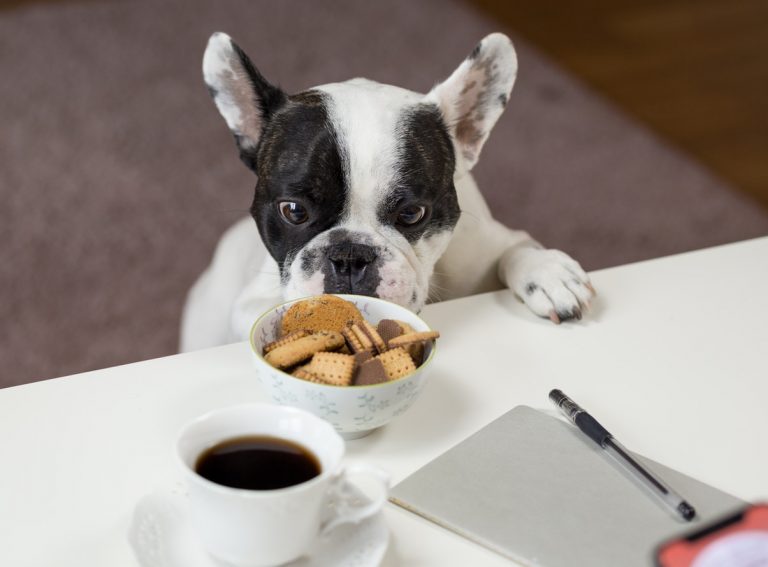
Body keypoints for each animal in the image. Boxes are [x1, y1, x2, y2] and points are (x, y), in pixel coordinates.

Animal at [180, 33, 592, 352]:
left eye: (411, 214)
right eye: (293, 211)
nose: (349, 256)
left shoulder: (486, 245)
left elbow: (516, 248)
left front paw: (548, 273)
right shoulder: (250, 302)